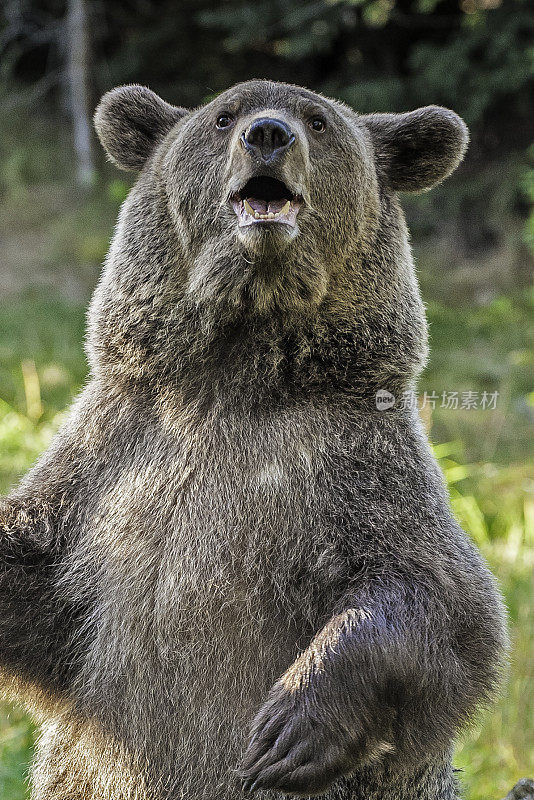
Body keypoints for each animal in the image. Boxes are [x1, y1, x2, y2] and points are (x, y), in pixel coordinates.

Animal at [1, 76, 510, 800]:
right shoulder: (109, 466)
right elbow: (34, 573)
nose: (269, 133)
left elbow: (438, 597)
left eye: (318, 120)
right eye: (224, 116)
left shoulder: (352, 466)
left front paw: (290, 728)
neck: (236, 379)